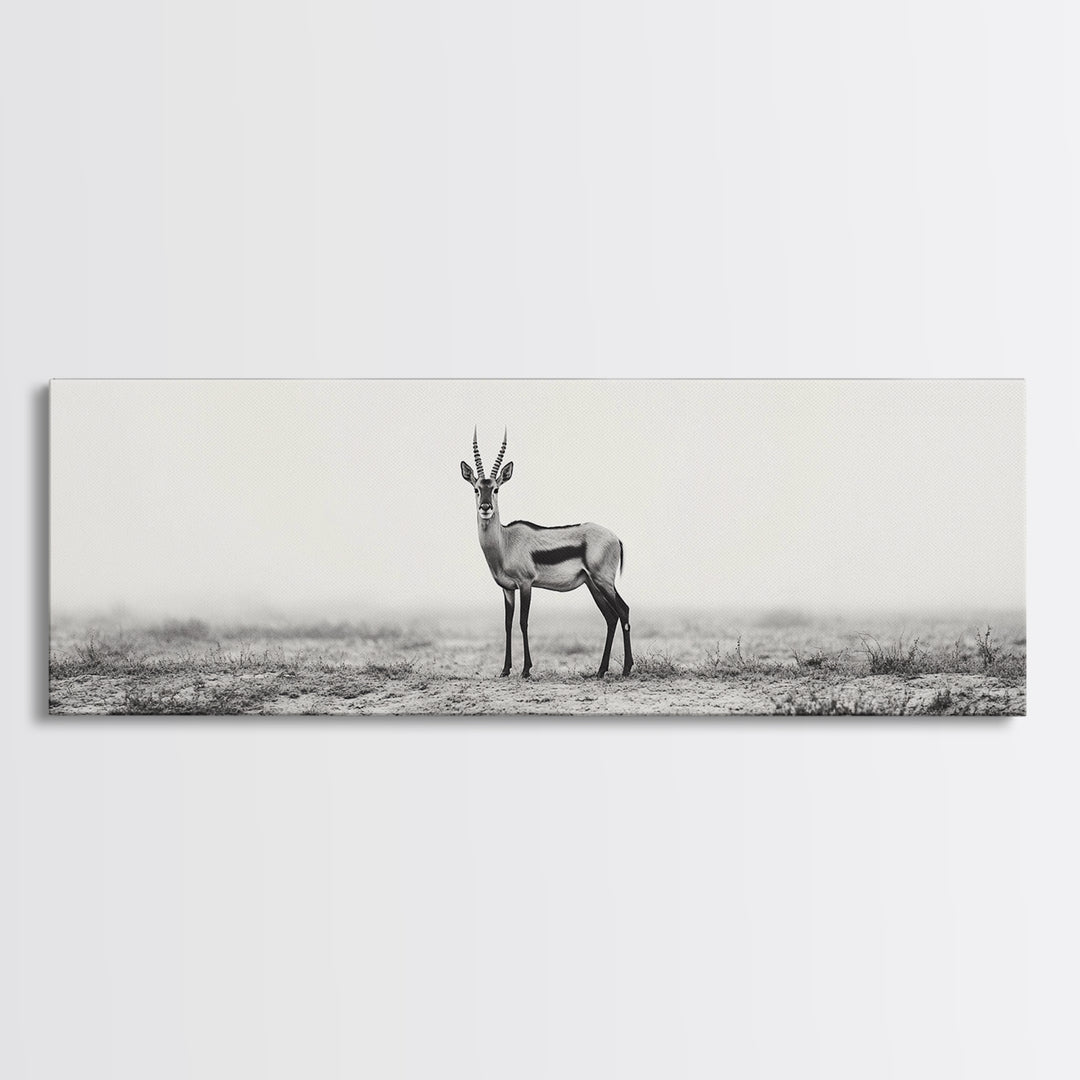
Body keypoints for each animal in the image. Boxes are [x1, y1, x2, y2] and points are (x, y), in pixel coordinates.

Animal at [461, 428, 633, 679]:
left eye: (496, 488)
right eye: (476, 488)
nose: (485, 508)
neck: (505, 541)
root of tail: (615, 538)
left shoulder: (525, 585)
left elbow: (523, 622)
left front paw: (526, 670)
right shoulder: (507, 589)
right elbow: (507, 624)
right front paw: (505, 670)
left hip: (603, 582)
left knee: (623, 611)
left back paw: (626, 669)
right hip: (592, 584)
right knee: (611, 618)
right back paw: (601, 671)